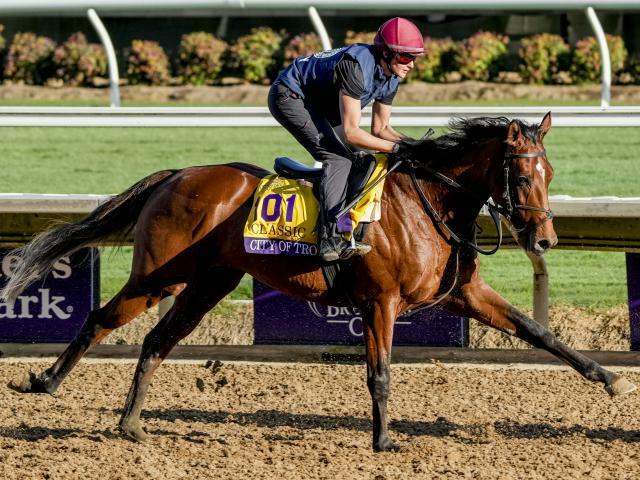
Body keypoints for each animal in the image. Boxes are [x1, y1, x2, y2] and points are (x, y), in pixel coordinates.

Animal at [2, 112, 636, 450]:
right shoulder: (381, 301)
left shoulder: (463, 293)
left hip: (210, 283)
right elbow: (379, 373)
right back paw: (45, 382)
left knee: (157, 341)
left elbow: (538, 331)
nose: (546, 239)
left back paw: (132, 424)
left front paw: (608, 379)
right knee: (101, 319)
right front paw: (383, 440)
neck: (430, 202)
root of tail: (177, 174)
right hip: (161, 275)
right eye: (523, 175)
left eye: (551, 173)